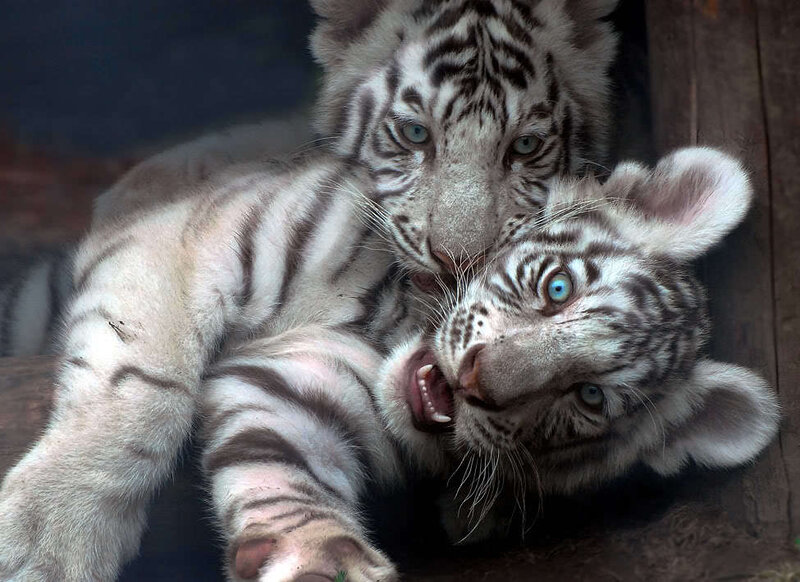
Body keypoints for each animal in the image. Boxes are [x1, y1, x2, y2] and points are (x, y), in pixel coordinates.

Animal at [0, 146, 779, 582]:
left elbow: (281, 471)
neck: (391, 326)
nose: (479, 382)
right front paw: (48, 540)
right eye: (558, 289)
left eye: (587, 397)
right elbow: (142, 391)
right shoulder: (191, 241)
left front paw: (319, 560)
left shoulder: (299, 392)